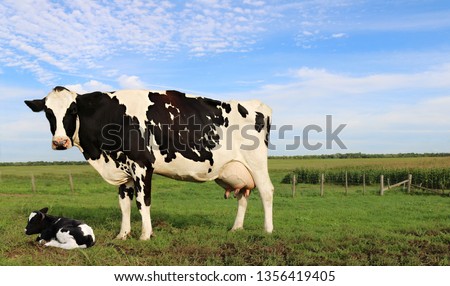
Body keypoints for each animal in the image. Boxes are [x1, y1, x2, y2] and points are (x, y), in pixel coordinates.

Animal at [26, 86, 276, 239]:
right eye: (48, 112)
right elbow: (124, 205)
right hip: (238, 169)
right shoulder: (124, 169)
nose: (60, 141)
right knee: (243, 195)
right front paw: (122, 235)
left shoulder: (142, 164)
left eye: (73, 110)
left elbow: (142, 201)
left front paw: (145, 235)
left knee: (266, 191)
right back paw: (236, 228)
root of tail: (257, 105)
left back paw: (268, 230)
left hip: (256, 162)